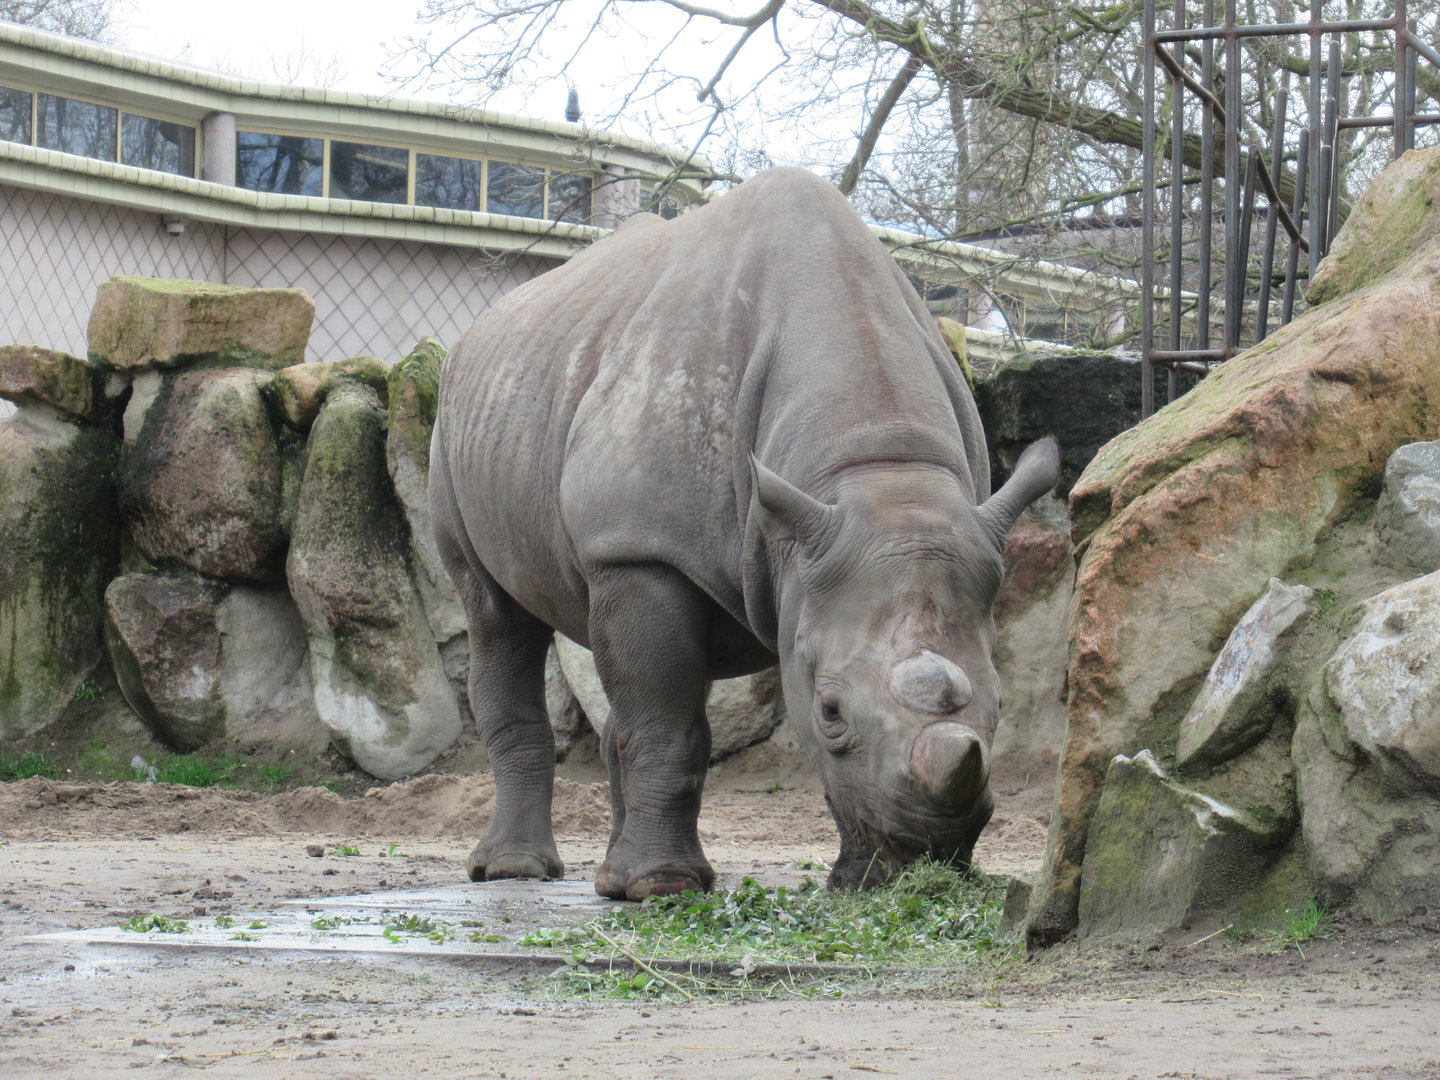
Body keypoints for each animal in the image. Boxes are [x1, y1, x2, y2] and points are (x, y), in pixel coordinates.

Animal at [430, 167, 1059, 899]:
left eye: (1001, 705)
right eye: (829, 713)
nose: (926, 854)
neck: (875, 466)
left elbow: (663, 708)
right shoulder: (639, 550)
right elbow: (668, 726)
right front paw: (664, 887)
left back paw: (609, 879)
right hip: (455, 424)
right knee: (497, 615)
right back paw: (517, 871)